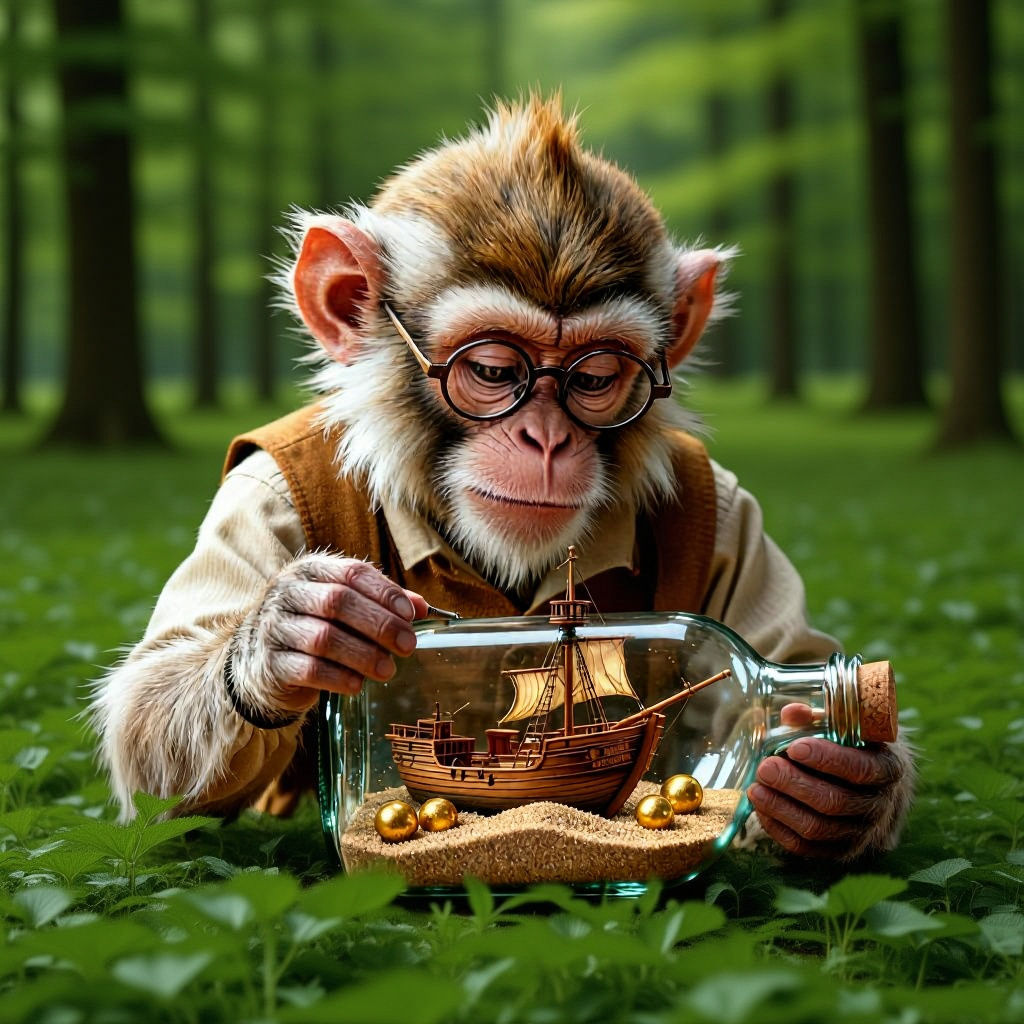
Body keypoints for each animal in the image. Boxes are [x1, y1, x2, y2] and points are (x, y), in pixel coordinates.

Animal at [91, 96, 913, 861]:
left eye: (597, 377)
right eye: (493, 371)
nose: (545, 439)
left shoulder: (730, 499)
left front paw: (838, 785)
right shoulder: (260, 488)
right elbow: (151, 741)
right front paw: (296, 625)